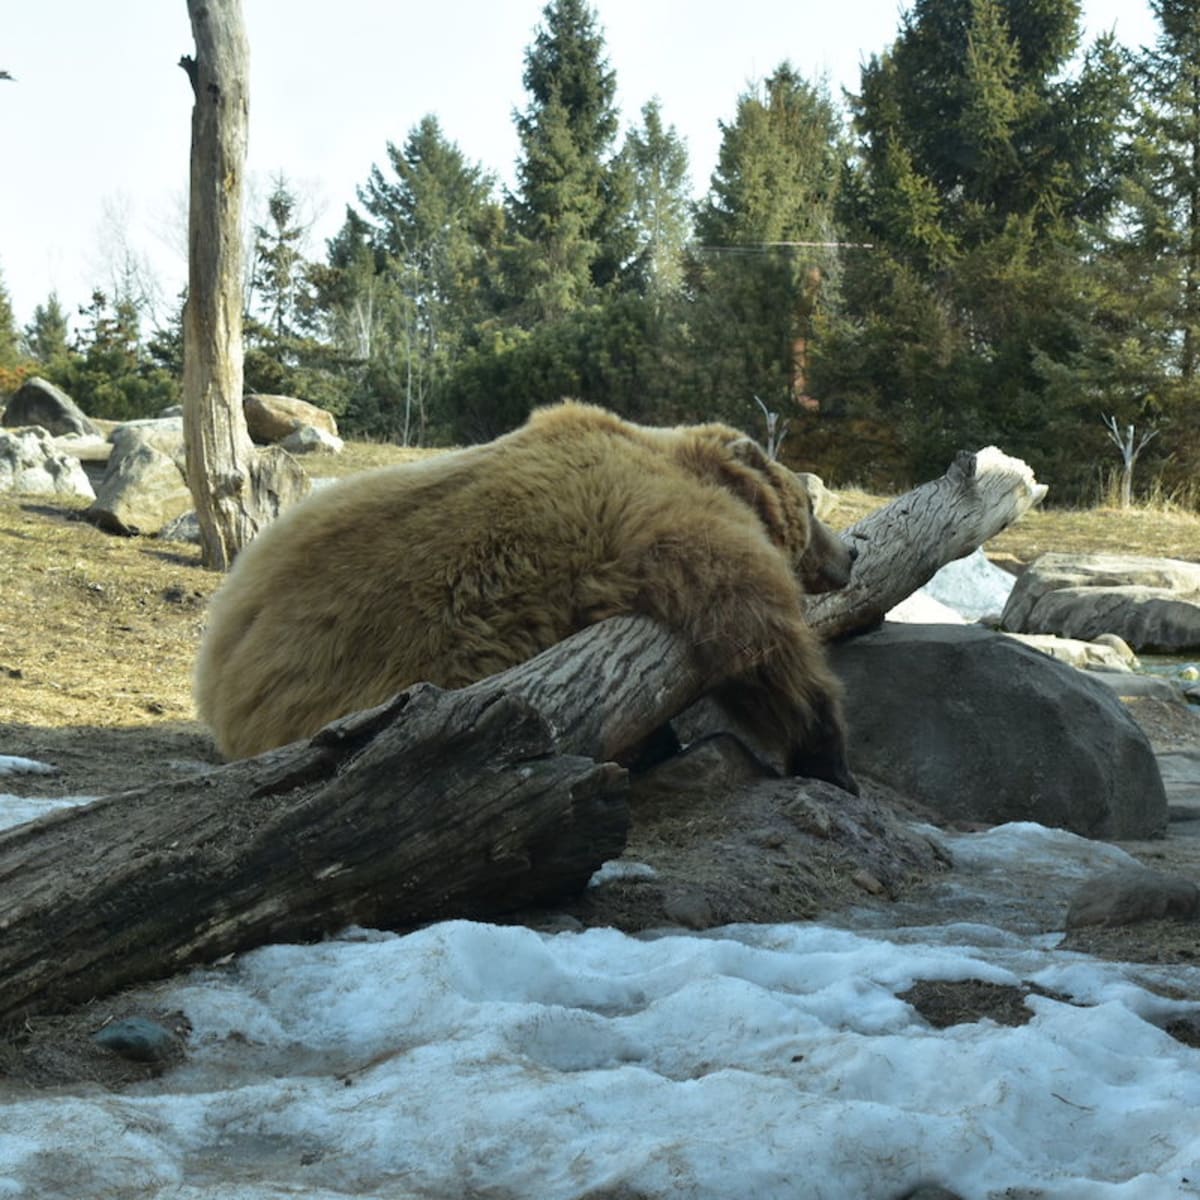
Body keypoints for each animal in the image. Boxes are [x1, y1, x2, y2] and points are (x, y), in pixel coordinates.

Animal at [192, 403, 859, 792]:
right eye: (812, 504)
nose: (850, 553)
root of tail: (217, 677)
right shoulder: (672, 525)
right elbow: (758, 637)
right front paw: (826, 756)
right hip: (421, 659)